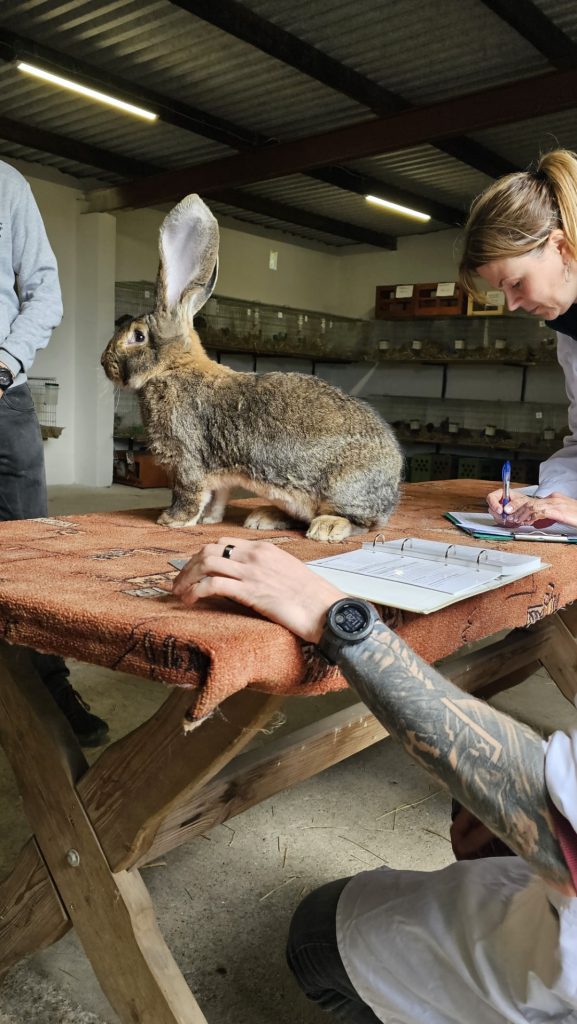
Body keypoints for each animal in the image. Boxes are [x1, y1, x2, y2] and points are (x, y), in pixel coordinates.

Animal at [101, 193, 403, 544]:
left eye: (137, 336)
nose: (104, 362)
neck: (172, 367)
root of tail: (394, 484)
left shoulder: (186, 459)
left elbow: (189, 493)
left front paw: (171, 521)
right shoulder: (218, 476)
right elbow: (216, 497)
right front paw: (210, 520)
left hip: (340, 489)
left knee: (361, 522)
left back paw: (326, 528)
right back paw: (263, 518)